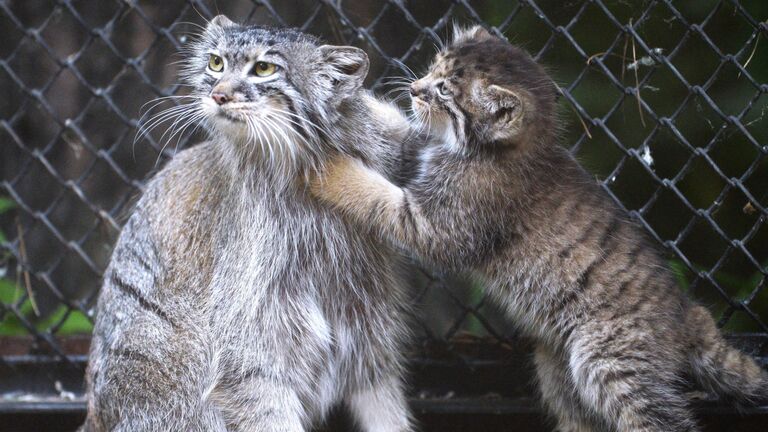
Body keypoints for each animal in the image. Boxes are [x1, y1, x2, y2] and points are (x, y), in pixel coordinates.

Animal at [308, 26, 764, 428]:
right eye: (434, 68)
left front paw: (331, 170)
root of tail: (686, 313)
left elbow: (377, 197)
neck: (505, 150)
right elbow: (393, 131)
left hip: (610, 361)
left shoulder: (444, 224)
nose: (416, 89)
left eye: (444, 91)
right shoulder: (417, 153)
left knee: (660, 419)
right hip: (556, 363)